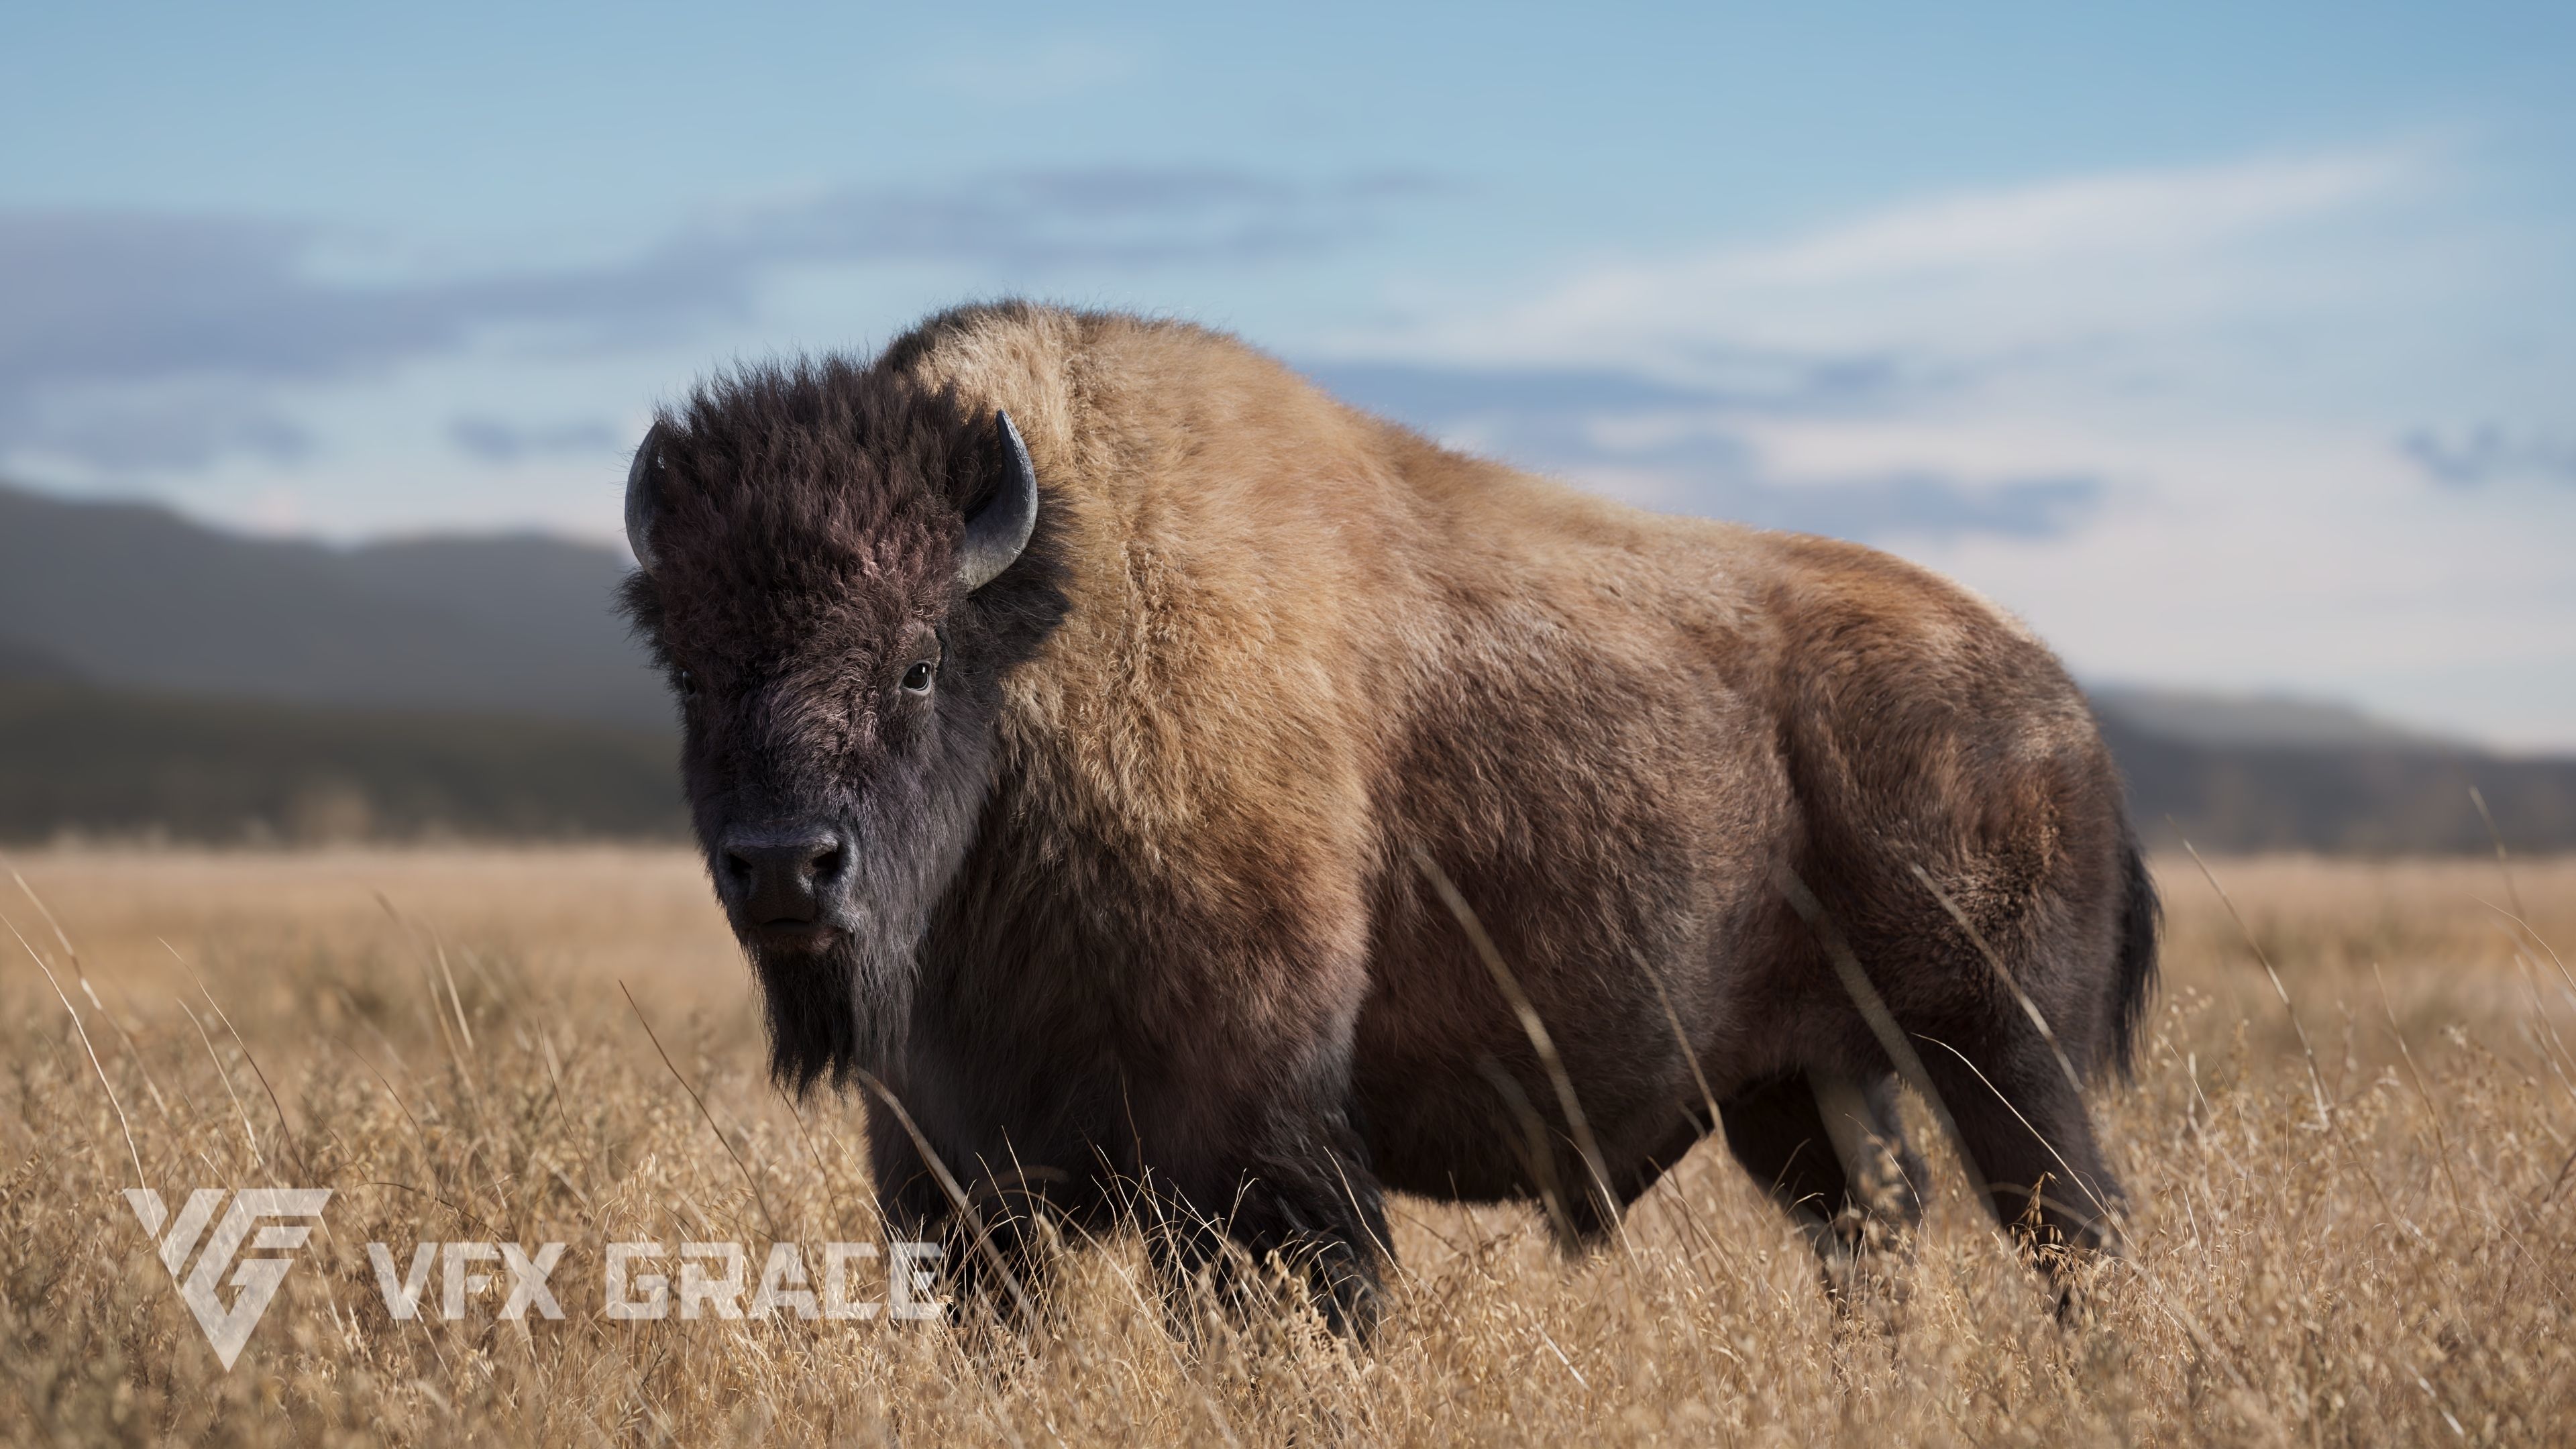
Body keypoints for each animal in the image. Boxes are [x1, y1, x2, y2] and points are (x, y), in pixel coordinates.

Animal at [619, 302, 2157, 1331]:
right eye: (687, 668)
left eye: (920, 658)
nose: (786, 870)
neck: (1050, 643)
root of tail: (2062, 710)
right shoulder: (956, 1174)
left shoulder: (1256, 1151)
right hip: (1798, 1093)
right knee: (1875, 1237)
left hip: (2004, 1053)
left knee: (2074, 1232)